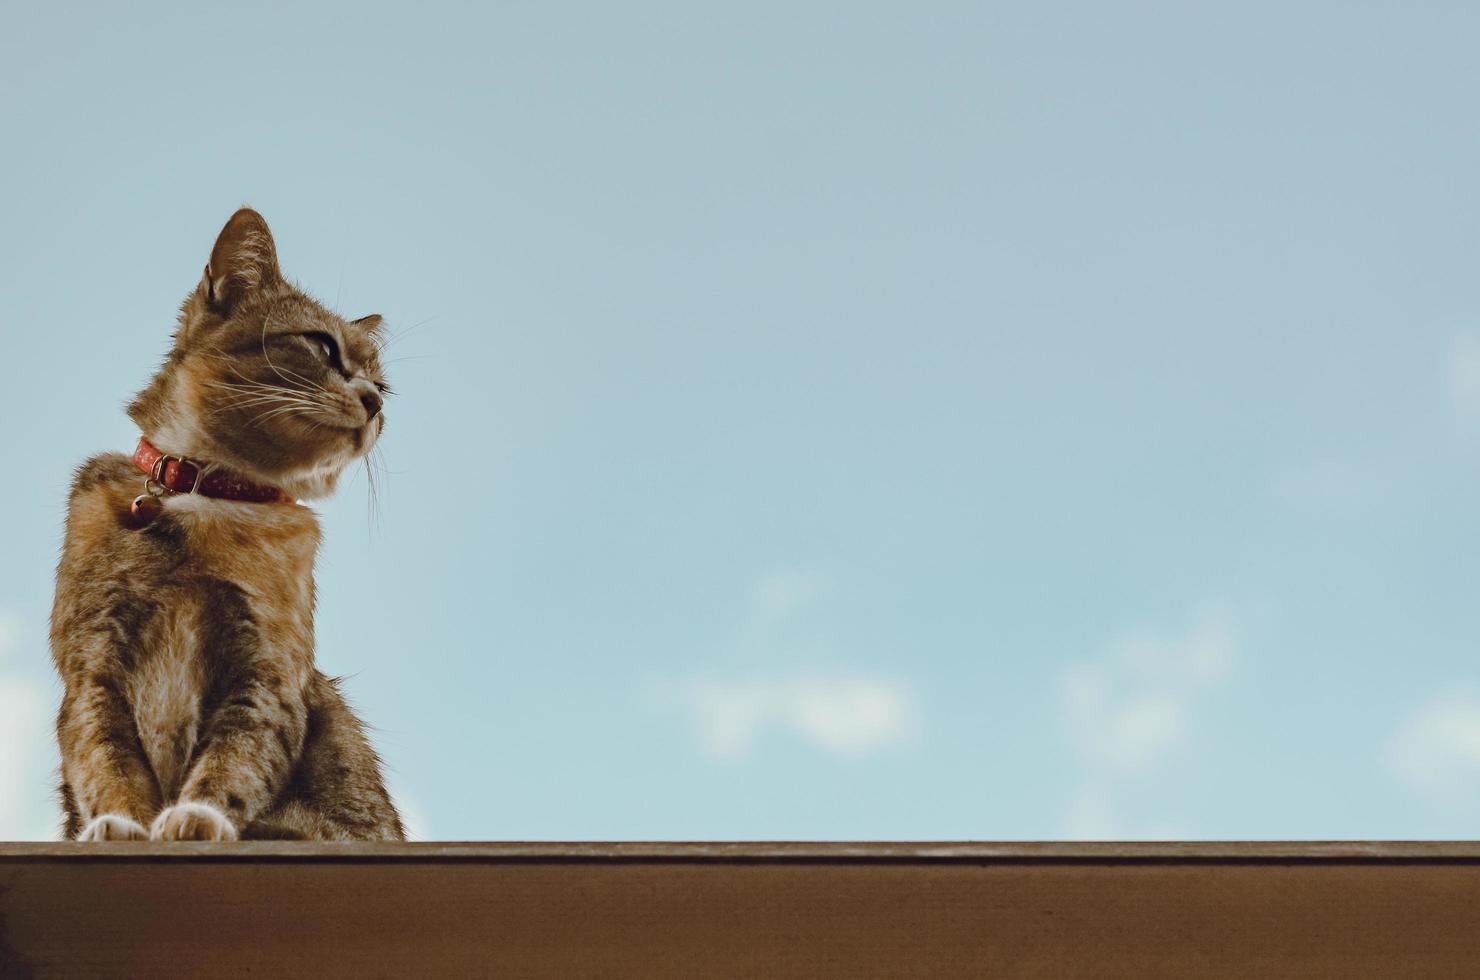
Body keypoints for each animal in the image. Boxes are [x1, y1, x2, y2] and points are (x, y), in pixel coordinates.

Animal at [49, 207, 405, 846]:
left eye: (384, 384)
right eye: (321, 344)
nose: (375, 400)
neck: (208, 498)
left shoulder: (266, 674)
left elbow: (236, 758)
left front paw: (198, 816)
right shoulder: (92, 668)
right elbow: (105, 761)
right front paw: (120, 823)